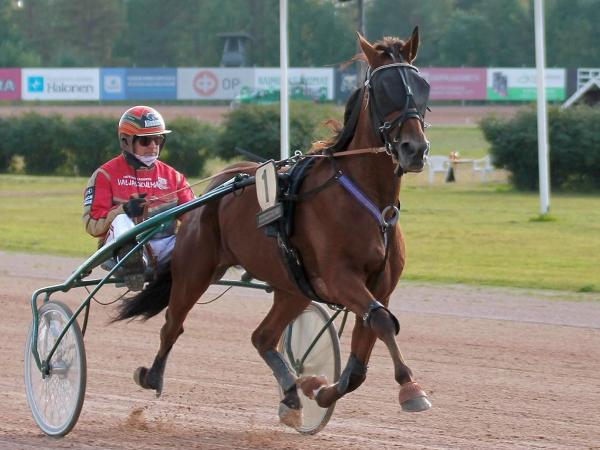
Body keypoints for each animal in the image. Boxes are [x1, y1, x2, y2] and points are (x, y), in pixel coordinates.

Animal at [114, 27, 432, 428]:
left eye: (422, 86)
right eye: (384, 87)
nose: (414, 148)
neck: (373, 202)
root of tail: (217, 185)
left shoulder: (380, 285)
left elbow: (363, 356)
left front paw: (318, 389)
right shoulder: (342, 278)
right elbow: (383, 322)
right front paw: (411, 388)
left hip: (292, 286)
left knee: (262, 337)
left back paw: (291, 392)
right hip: (196, 267)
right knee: (173, 322)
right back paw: (151, 375)